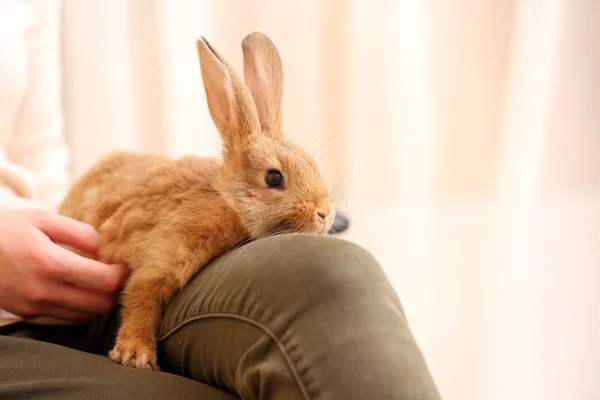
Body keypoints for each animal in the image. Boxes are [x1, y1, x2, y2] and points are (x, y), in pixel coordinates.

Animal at [56, 32, 336, 372]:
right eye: (273, 178)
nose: (325, 214)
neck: (227, 202)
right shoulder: (161, 257)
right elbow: (140, 299)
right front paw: (135, 354)